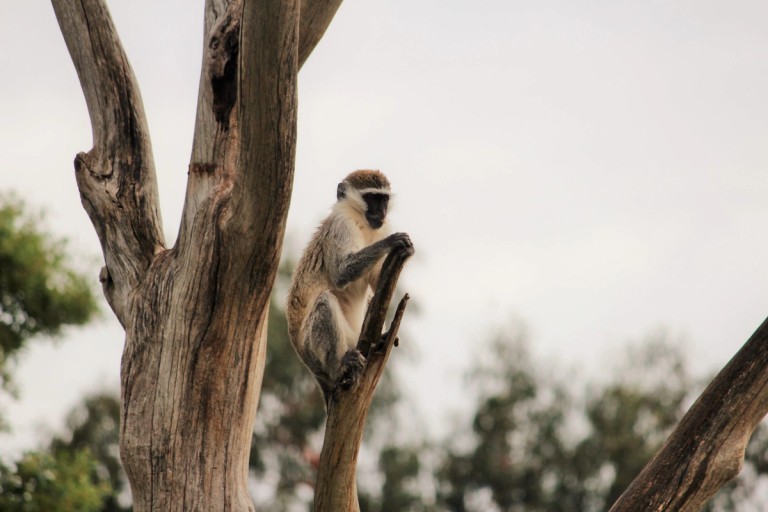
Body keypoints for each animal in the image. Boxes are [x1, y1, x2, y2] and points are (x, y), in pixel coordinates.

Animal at [286, 170, 414, 406]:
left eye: (384, 199)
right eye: (372, 198)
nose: (381, 212)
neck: (360, 222)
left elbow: (376, 281)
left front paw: (406, 252)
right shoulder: (340, 225)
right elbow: (341, 272)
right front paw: (393, 242)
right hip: (313, 351)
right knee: (325, 301)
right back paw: (341, 364)